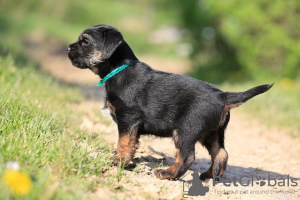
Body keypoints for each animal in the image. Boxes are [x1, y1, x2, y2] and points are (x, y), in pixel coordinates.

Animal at [67, 24, 274, 180]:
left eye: (85, 42)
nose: (68, 48)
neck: (118, 70)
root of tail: (223, 96)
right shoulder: (131, 125)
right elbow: (131, 143)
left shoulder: (128, 119)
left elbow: (124, 142)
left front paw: (119, 162)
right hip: (213, 132)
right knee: (221, 153)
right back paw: (209, 175)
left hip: (185, 129)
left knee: (187, 156)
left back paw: (168, 173)